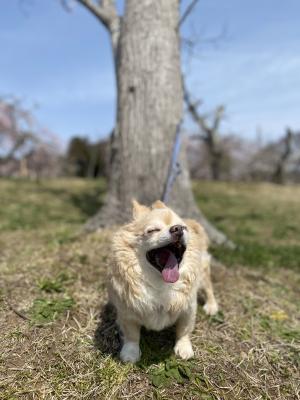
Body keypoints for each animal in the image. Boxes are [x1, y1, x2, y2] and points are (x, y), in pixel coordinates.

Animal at [108, 199, 218, 362]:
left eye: (183, 228)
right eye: (153, 230)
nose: (178, 229)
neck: (161, 284)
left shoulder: (188, 309)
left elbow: (184, 330)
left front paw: (184, 348)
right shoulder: (127, 311)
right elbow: (132, 335)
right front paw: (130, 353)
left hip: (203, 273)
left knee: (209, 288)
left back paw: (211, 306)